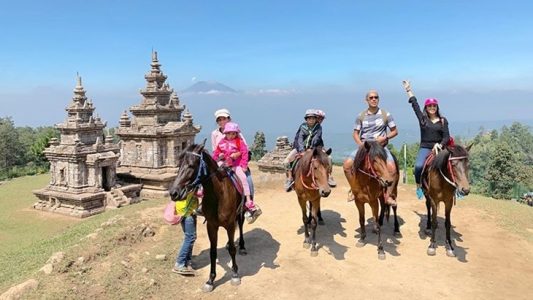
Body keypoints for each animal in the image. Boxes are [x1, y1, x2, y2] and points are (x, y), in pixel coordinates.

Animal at [169, 143, 246, 292]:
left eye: (191, 165)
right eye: (179, 165)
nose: (174, 193)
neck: (218, 195)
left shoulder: (229, 225)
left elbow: (233, 250)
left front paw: (235, 274)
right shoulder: (211, 226)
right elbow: (213, 252)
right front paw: (210, 280)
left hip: (240, 212)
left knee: (240, 225)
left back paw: (242, 246)